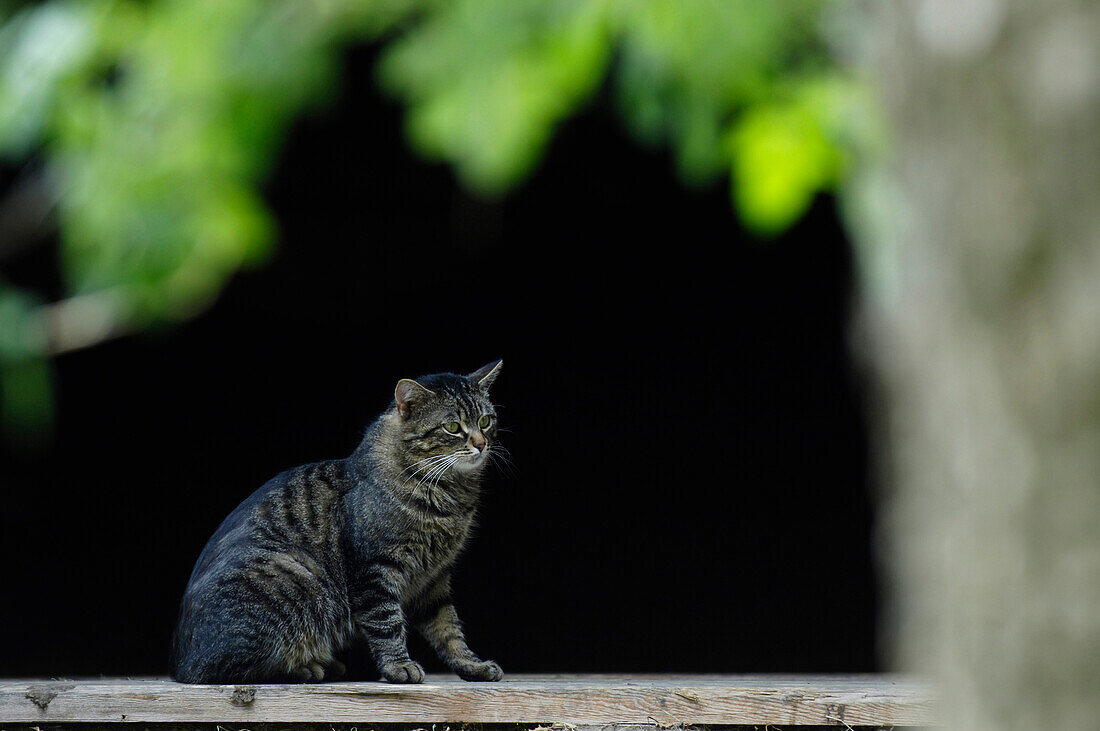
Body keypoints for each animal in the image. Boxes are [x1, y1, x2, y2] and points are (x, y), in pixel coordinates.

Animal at [169, 358, 503, 685]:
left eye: (486, 421)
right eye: (452, 427)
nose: (481, 443)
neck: (450, 497)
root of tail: (180, 663)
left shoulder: (435, 579)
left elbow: (449, 630)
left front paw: (472, 665)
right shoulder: (375, 570)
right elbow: (387, 622)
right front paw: (398, 666)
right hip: (298, 575)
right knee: (224, 669)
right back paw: (307, 668)